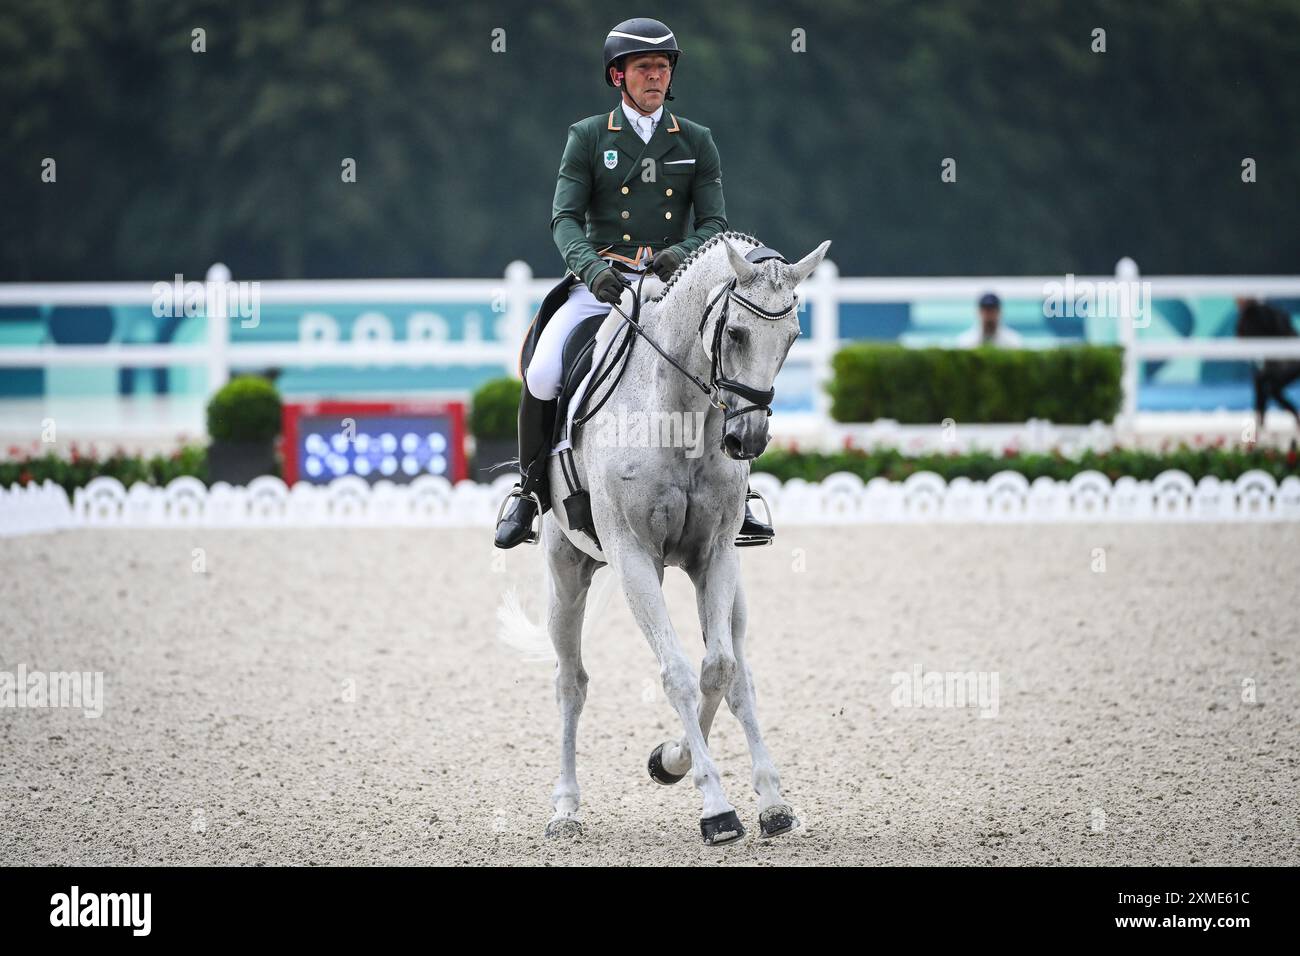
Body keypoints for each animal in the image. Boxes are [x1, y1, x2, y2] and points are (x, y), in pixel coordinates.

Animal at [501, 231, 826, 842]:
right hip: (565, 572)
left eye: (793, 337)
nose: (748, 439)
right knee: (570, 682)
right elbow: (677, 673)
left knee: (740, 674)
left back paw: (772, 800)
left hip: (734, 585)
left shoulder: (716, 557)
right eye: (736, 332)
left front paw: (672, 762)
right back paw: (565, 809)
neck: (681, 414)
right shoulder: (634, 560)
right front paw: (716, 808)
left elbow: (717, 669)